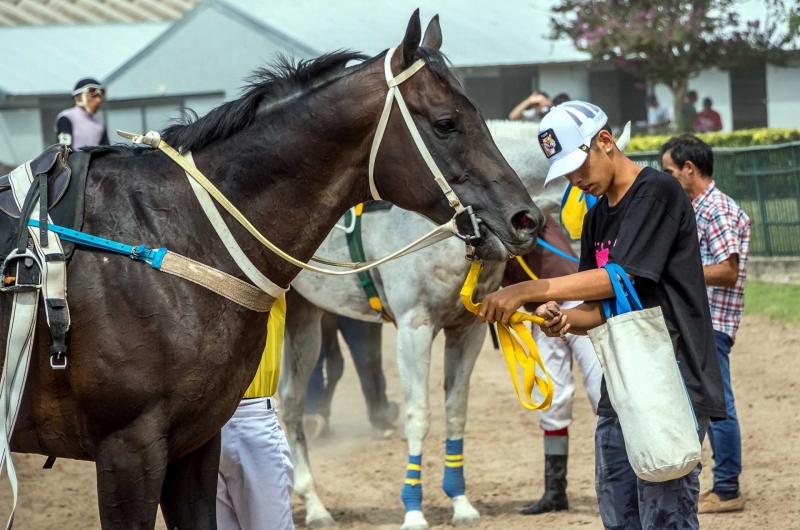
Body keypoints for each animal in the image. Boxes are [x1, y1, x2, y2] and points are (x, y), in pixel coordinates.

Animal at [0, 12, 544, 528]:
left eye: (480, 114)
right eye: (446, 123)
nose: (524, 218)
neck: (159, 235)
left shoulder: (463, 327)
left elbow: (455, 412)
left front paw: (461, 503)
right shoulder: (128, 447)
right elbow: (420, 414)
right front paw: (414, 509)